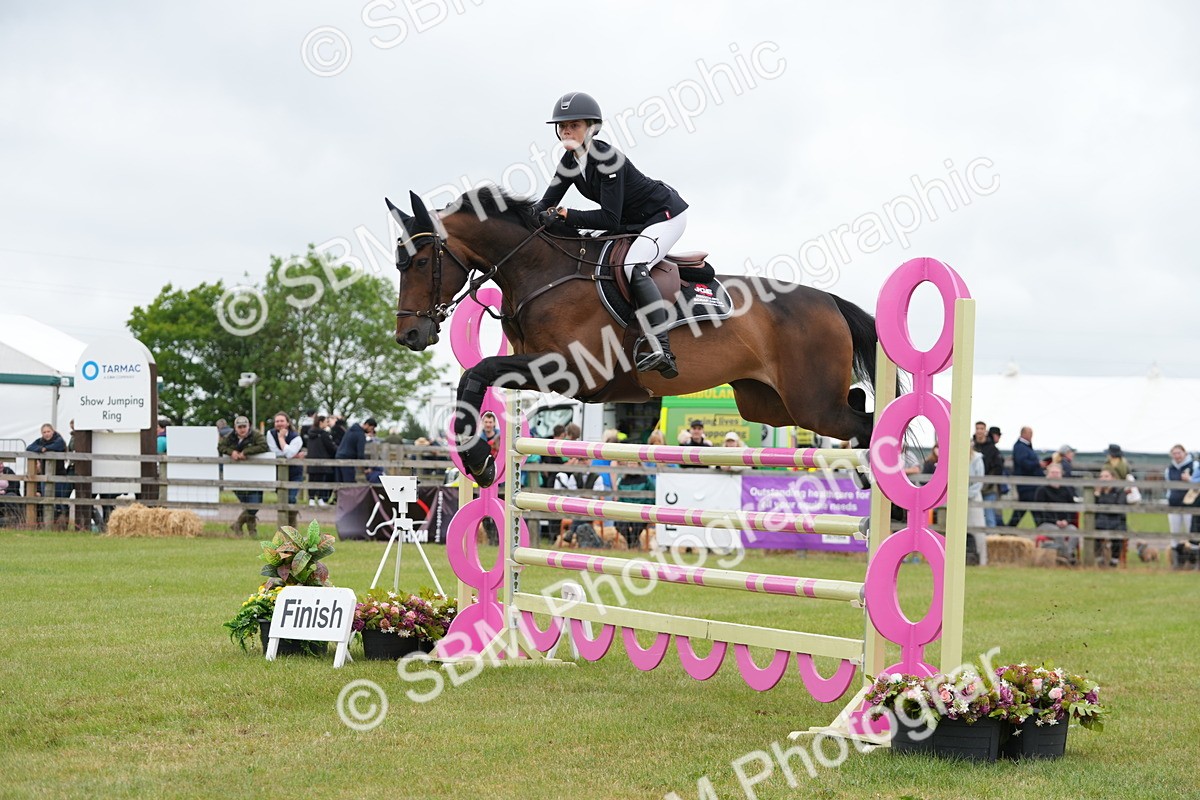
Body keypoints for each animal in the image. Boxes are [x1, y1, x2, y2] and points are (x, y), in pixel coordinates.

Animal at [389, 185, 878, 487]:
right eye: (400, 263)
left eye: (420, 262)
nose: (409, 334)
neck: (542, 271)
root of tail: (831, 301)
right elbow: (476, 376)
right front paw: (483, 462)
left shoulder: (570, 369)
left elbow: (477, 371)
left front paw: (478, 462)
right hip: (769, 404)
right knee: (856, 407)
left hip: (811, 403)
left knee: (864, 423)